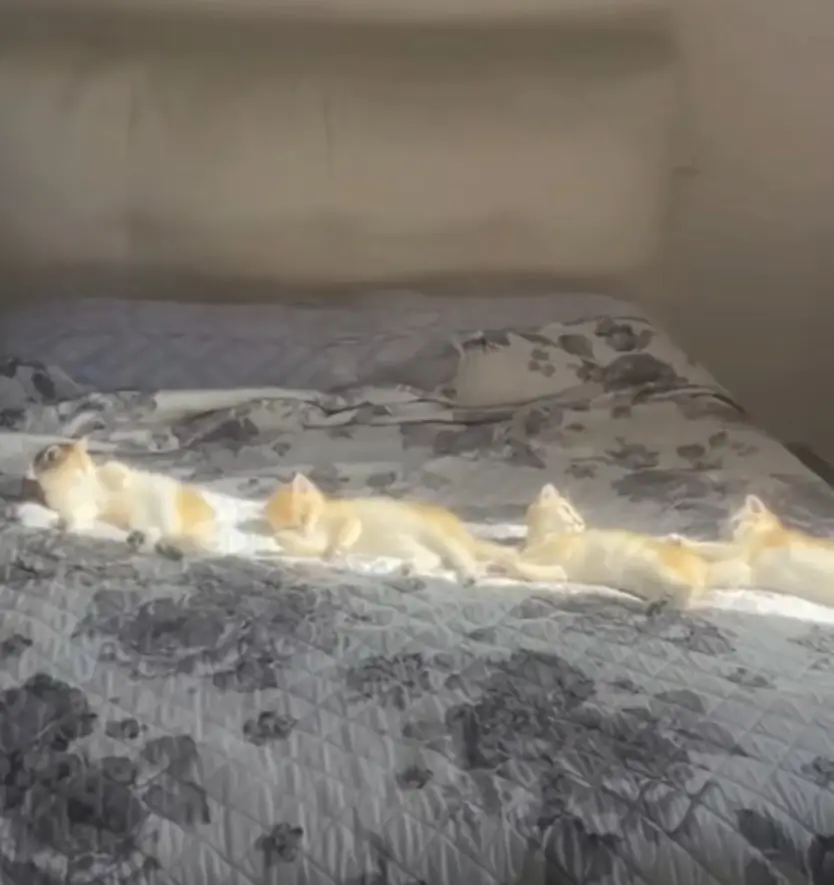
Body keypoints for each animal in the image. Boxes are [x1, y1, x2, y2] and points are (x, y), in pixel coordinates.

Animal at [263, 472, 518, 583]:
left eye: (305, 515)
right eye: (293, 524)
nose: (304, 529)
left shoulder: (348, 518)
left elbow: (348, 528)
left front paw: (339, 546)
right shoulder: (315, 541)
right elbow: (310, 546)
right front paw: (281, 540)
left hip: (439, 538)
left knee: (463, 558)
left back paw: (471, 575)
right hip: (411, 546)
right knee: (436, 559)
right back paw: (410, 569)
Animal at [500, 483, 713, 609]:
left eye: (578, 516)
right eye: (566, 509)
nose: (579, 522)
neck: (542, 537)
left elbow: (514, 559)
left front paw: (503, 561)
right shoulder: (558, 571)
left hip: (656, 566)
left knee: (689, 592)